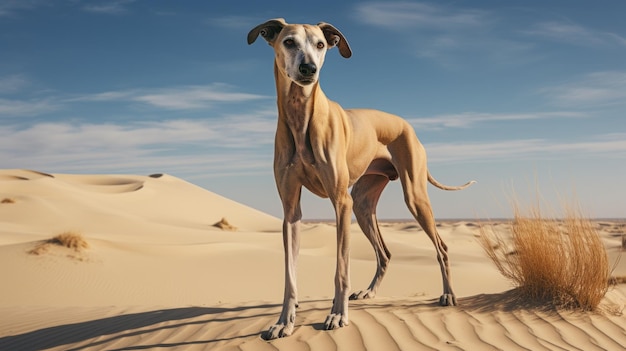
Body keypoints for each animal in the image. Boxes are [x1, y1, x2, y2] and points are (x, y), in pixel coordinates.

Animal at [246, 17, 470, 340]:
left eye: (320, 44)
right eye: (288, 42)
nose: (308, 69)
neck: (301, 115)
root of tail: (407, 125)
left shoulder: (341, 203)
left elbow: (341, 268)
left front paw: (338, 315)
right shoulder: (290, 210)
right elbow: (290, 274)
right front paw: (283, 321)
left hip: (413, 197)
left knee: (441, 247)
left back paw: (448, 294)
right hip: (364, 204)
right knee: (385, 252)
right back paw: (369, 292)